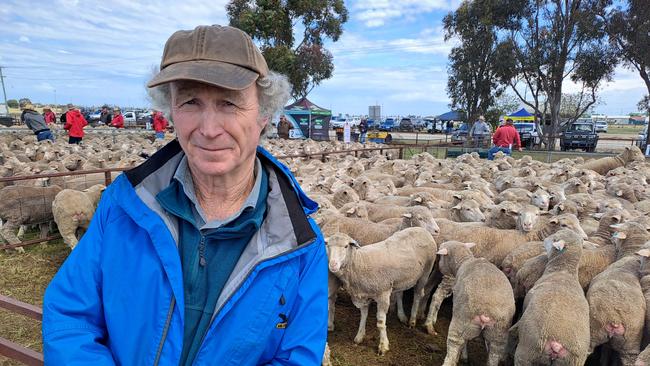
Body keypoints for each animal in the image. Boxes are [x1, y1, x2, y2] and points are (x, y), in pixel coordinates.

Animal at [508, 230, 588, 364]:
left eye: (555, 237)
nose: (544, 238)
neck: (563, 272)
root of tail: (556, 344)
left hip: (527, 351)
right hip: (572, 361)